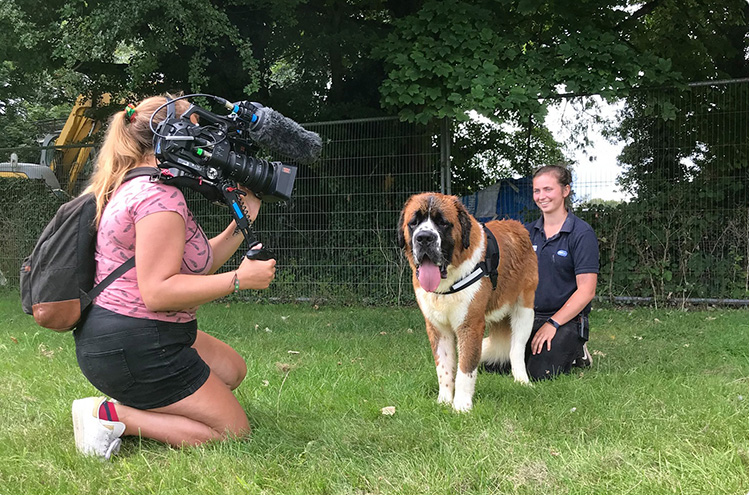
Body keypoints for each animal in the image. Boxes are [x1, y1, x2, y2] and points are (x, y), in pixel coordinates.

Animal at [400, 192, 540, 412]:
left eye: (443, 223)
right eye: (413, 223)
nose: (424, 238)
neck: (447, 283)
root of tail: (517, 225)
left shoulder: (470, 325)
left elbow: (466, 367)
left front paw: (461, 406)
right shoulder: (437, 328)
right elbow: (444, 367)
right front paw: (444, 401)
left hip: (525, 309)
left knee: (516, 349)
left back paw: (522, 381)